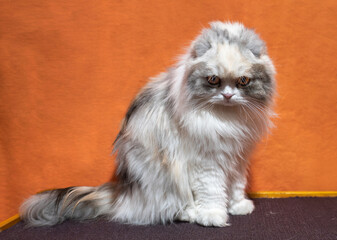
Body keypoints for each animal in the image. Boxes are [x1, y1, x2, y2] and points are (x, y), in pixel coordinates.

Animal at [19, 20, 274, 227]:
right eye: (213, 80)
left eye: (243, 81)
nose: (228, 95)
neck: (227, 116)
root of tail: (122, 193)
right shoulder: (207, 162)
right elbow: (212, 192)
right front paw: (213, 216)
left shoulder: (237, 156)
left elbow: (236, 186)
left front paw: (238, 206)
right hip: (164, 177)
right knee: (164, 209)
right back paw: (190, 214)